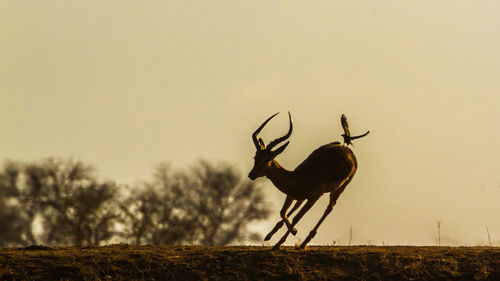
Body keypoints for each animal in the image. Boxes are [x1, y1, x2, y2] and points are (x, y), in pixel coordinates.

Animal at [249, 110, 370, 248]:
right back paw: (270, 235)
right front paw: (280, 235)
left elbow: (296, 218)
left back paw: (303, 243)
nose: (251, 174)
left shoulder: (314, 197)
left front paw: (284, 240)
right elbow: (283, 212)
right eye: (255, 157)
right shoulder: (291, 195)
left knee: (329, 208)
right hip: (304, 197)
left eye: (267, 159)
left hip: (340, 188)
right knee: (296, 208)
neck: (298, 177)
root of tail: (348, 150)